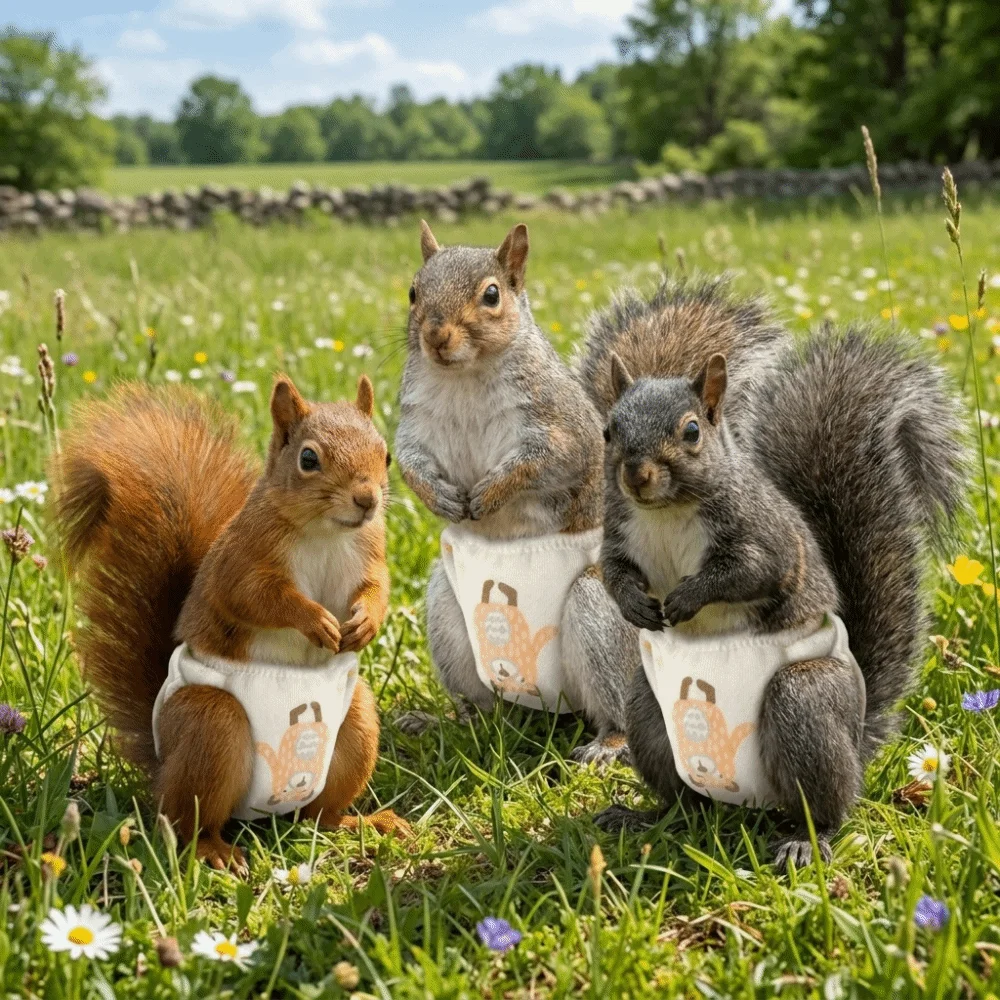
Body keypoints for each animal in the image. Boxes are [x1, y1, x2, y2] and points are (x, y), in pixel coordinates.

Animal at [52, 375, 406, 874]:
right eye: (309, 459)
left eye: (386, 454)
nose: (367, 500)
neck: (327, 533)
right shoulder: (241, 560)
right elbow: (255, 597)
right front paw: (314, 619)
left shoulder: (368, 554)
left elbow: (377, 587)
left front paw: (365, 622)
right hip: (210, 728)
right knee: (186, 821)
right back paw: (213, 850)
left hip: (354, 725)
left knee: (320, 816)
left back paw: (366, 823)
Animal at [592, 317, 966, 866]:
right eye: (608, 430)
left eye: (691, 431)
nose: (636, 476)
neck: (665, 513)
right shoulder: (619, 537)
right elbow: (613, 573)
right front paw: (635, 605)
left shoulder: (768, 539)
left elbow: (746, 573)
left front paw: (687, 597)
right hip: (648, 710)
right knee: (685, 802)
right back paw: (643, 817)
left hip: (804, 701)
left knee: (827, 806)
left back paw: (804, 840)